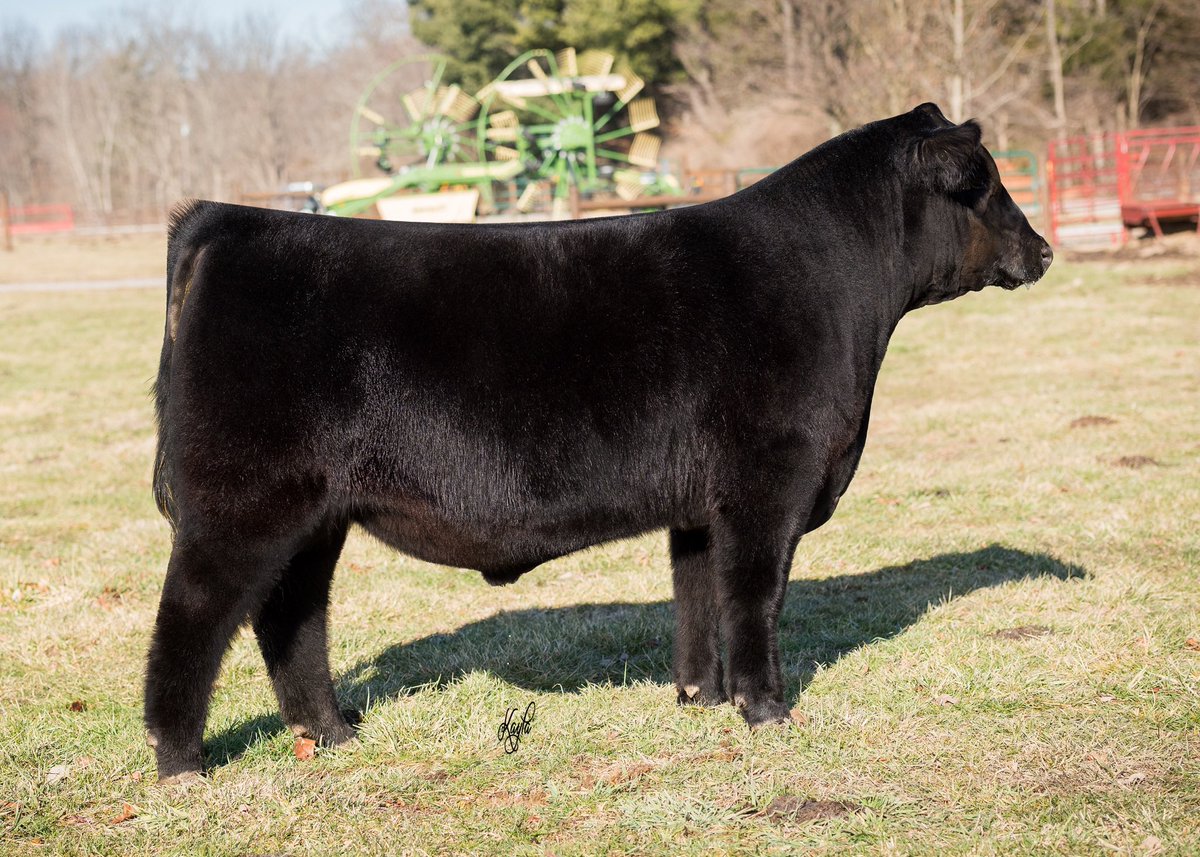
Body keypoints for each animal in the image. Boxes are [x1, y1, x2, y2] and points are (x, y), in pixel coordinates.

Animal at [145, 102, 1052, 783]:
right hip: (242, 500)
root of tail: (221, 220)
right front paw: (767, 709)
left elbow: (699, 598)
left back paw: (333, 731)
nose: (1043, 249)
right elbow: (755, 597)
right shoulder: (769, 483)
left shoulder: (702, 505)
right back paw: (182, 760)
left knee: (292, 616)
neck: (840, 293)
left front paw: (699, 697)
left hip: (316, 514)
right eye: (987, 186)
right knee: (193, 617)